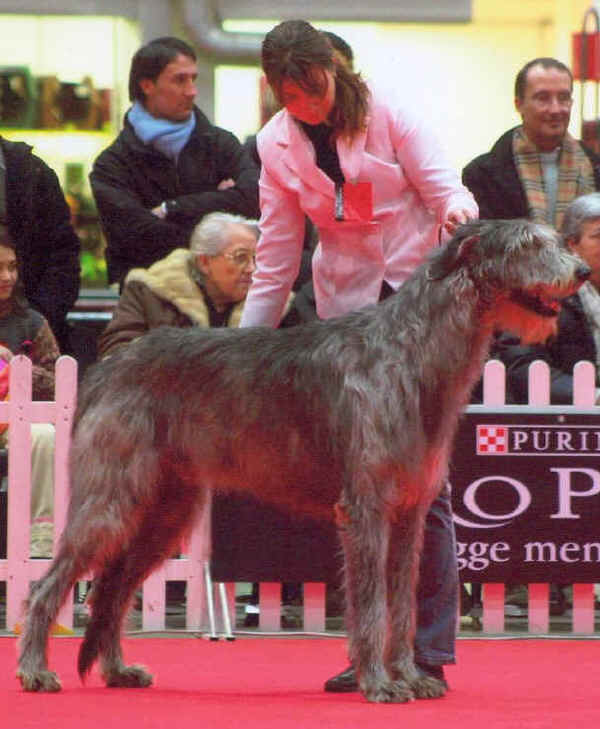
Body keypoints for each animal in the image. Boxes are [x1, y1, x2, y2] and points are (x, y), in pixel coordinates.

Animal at [16, 220, 588, 700]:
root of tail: (104, 368)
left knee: (113, 589)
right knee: (49, 584)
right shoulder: (364, 509)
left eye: (553, 238)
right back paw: (34, 670)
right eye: (526, 245)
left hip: (166, 511)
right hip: (111, 499)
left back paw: (117, 670)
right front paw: (379, 683)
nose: (582, 271)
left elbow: (402, 604)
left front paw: (407, 675)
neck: (412, 349)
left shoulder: (409, 514)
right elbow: (371, 605)